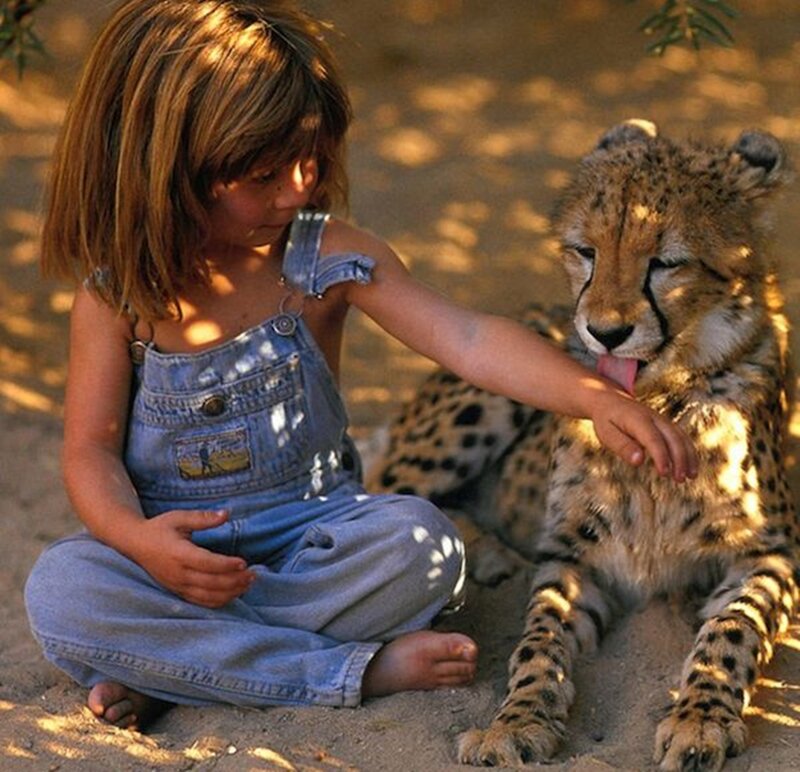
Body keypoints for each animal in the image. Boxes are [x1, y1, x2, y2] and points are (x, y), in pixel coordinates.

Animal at [367, 120, 798, 771]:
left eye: (667, 262)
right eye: (586, 252)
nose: (605, 331)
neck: (653, 407)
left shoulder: (771, 554)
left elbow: (732, 629)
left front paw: (700, 718)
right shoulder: (572, 558)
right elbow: (538, 640)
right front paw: (516, 720)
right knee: (380, 492)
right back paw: (484, 554)